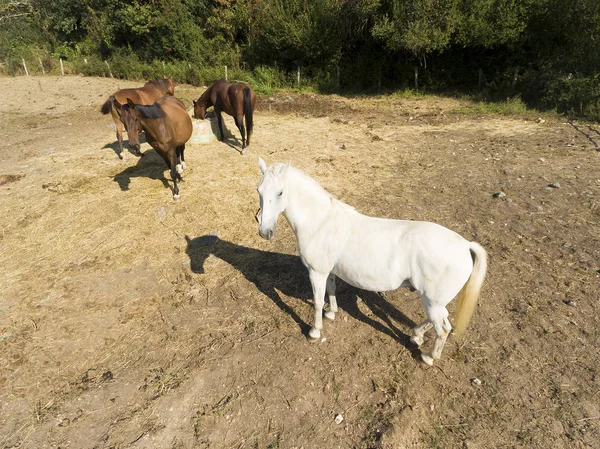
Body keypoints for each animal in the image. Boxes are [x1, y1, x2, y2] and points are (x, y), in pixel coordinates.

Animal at [256, 158, 488, 364]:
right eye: (259, 191)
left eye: (280, 192)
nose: (265, 232)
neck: (321, 222)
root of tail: (465, 245)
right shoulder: (329, 272)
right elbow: (331, 290)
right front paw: (331, 312)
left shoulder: (316, 273)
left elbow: (317, 301)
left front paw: (314, 331)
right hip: (435, 301)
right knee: (438, 320)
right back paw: (416, 335)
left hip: (433, 301)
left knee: (443, 327)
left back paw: (428, 357)